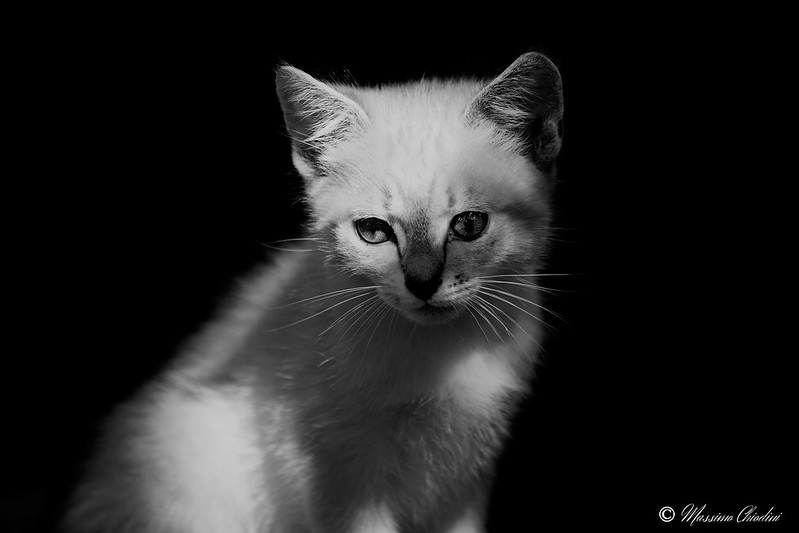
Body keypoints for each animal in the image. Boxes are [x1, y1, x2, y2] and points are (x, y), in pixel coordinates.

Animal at [64, 51, 564, 533]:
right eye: (373, 231)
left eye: (469, 224)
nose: (422, 284)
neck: (440, 355)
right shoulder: (341, 479)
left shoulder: (466, 479)